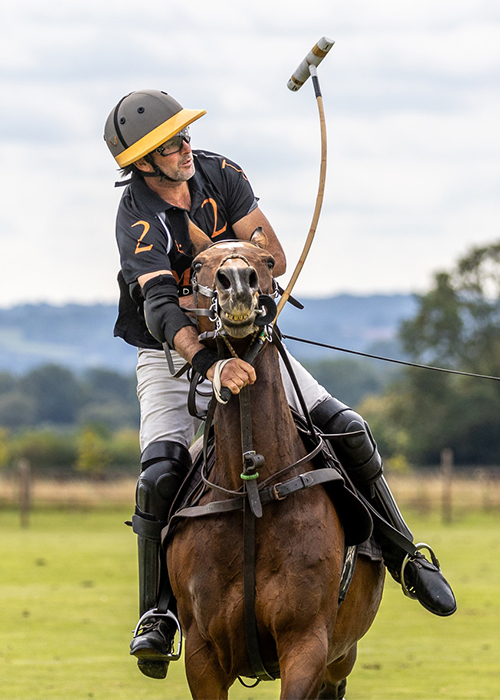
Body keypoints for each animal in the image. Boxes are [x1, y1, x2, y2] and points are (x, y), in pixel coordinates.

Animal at [166, 231, 384, 700]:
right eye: (198, 265)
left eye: (266, 261)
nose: (237, 284)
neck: (253, 489)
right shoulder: (202, 655)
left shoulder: (307, 643)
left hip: (341, 656)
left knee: (351, 429)